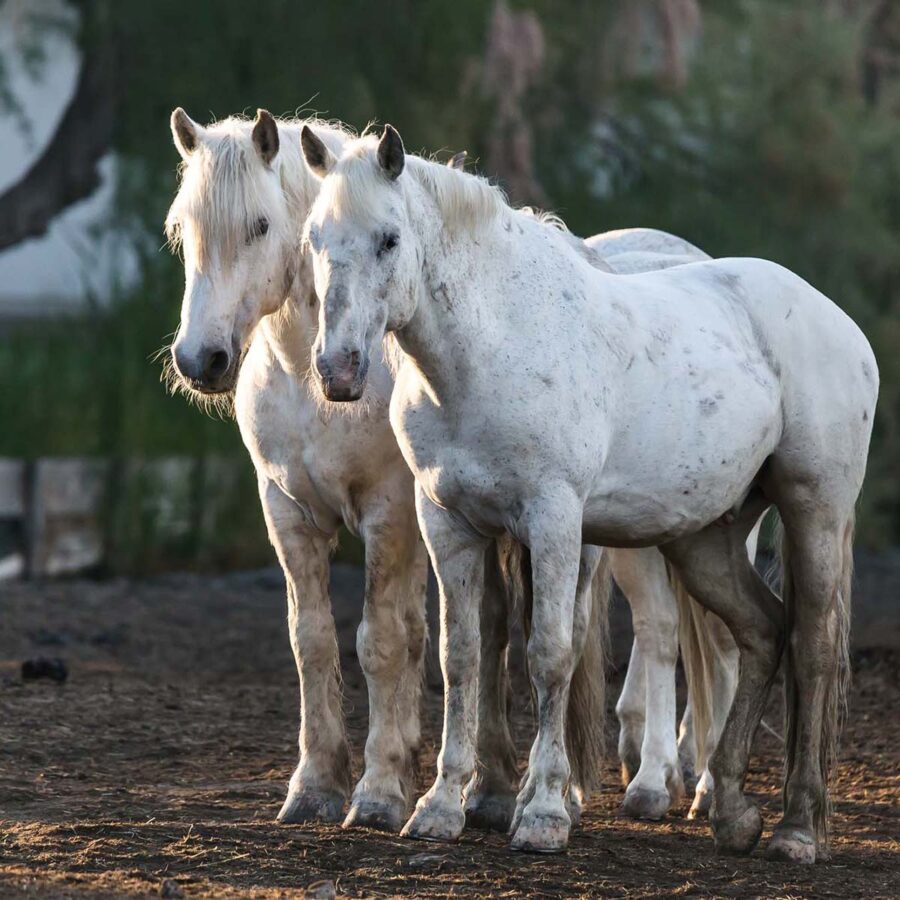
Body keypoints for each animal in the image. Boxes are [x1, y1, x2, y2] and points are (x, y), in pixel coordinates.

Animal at [298, 123, 876, 860]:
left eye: (389, 238)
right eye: (316, 238)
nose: (338, 371)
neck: (491, 346)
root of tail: (839, 324)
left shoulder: (553, 519)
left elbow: (551, 656)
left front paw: (543, 814)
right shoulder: (448, 523)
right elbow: (462, 660)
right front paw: (439, 807)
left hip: (814, 512)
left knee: (811, 646)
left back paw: (796, 829)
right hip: (705, 540)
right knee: (761, 632)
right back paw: (732, 812)